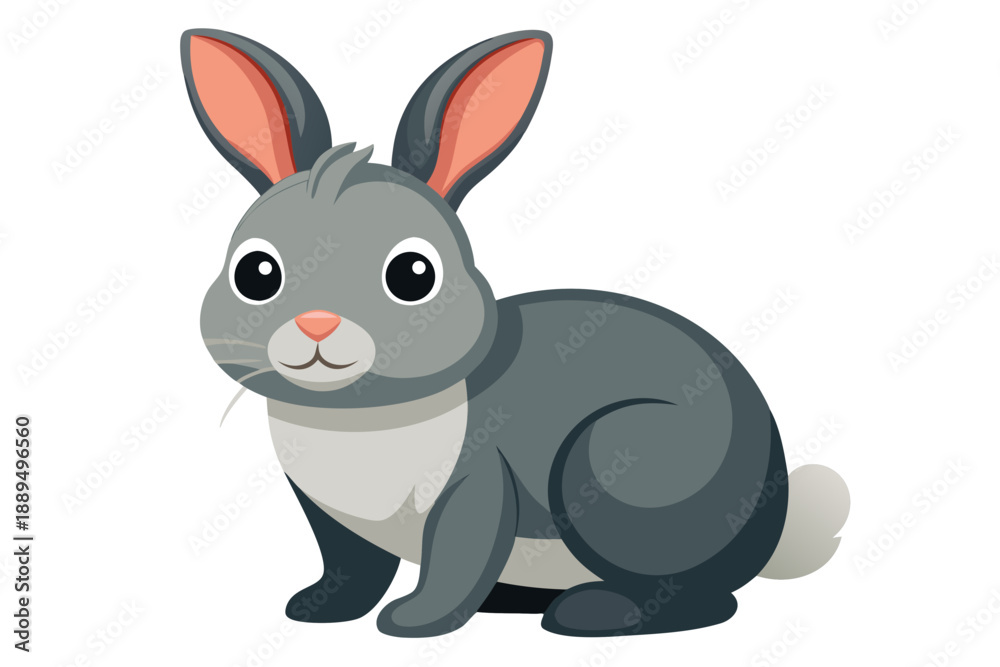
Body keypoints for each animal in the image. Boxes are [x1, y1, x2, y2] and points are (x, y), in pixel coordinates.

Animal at [181, 28, 850, 638]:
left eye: (414, 274)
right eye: (256, 273)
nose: (317, 324)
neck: (359, 417)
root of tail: (771, 514)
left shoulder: (477, 485)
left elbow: (457, 557)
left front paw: (413, 624)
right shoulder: (331, 519)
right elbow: (351, 567)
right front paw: (316, 611)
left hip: (615, 465)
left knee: (703, 599)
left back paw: (592, 614)